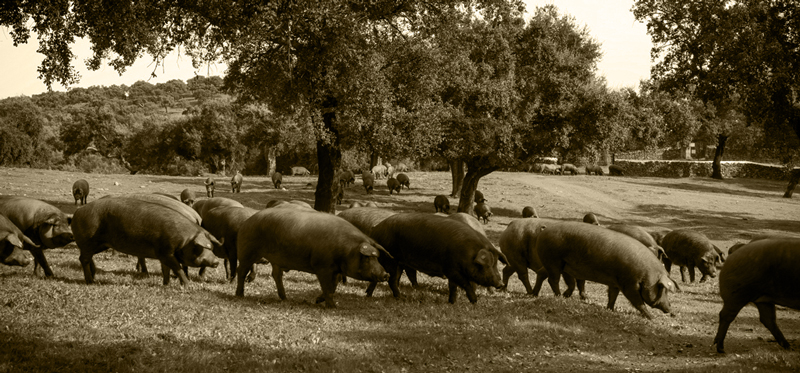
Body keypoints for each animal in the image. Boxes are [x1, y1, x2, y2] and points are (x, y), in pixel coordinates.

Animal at [234, 208, 390, 306]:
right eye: (367, 258)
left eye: (377, 258)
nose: (386, 274)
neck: (345, 250)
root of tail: (246, 222)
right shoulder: (322, 266)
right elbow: (327, 287)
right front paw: (332, 306)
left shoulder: (335, 270)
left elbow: (333, 286)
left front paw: (318, 300)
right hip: (247, 251)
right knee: (241, 271)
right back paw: (239, 295)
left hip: (275, 259)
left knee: (276, 274)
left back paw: (285, 298)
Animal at [368, 212, 506, 302]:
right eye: (487, 264)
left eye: (496, 263)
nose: (501, 283)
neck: (467, 252)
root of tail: (375, 229)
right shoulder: (451, 269)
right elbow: (465, 284)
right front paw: (474, 301)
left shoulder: (452, 272)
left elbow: (453, 287)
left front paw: (452, 302)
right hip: (390, 259)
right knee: (390, 279)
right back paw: (400, 298)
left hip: (398, 262)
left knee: (385, 278)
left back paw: (372, 296)